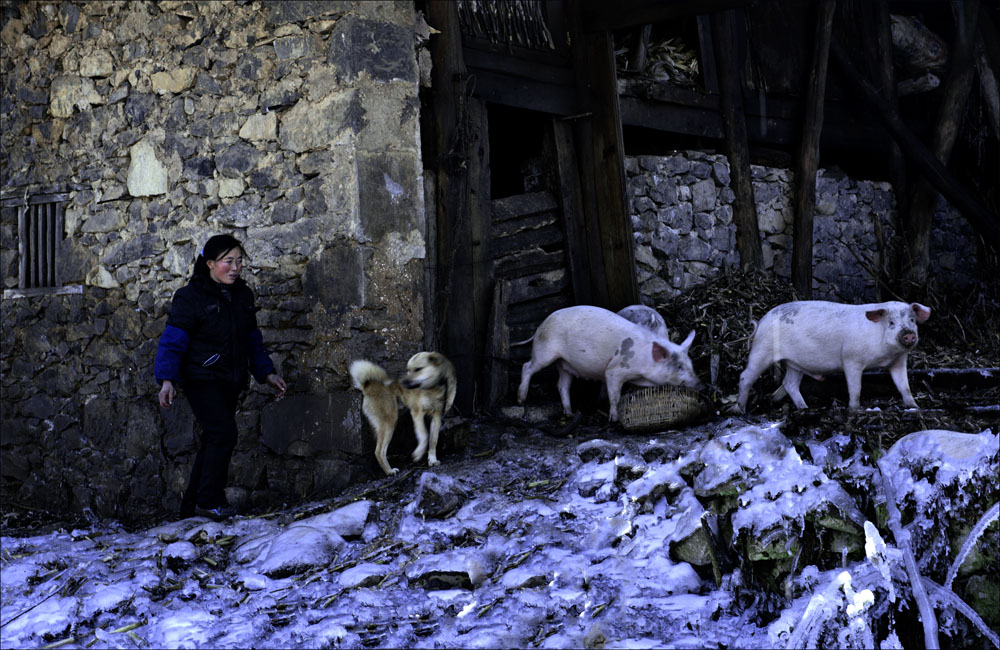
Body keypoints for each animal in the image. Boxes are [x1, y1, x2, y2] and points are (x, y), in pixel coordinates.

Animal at [516, 306, 704, 422]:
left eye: (690, 364)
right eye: (679, 367)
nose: (699, 383)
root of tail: (542, 323)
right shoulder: (614, 370)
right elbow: (614, 395)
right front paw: (614, 419)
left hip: (564, 363)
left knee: (562, 385)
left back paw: (569, 413)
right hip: (544, 353)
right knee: (526, 366)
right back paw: (520, 400)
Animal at [736, 300, 928, 410]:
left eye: (912, 320)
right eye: (891, 322)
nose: (909, 334)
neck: (884, 356)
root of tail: (761, 321)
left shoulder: (898, 362)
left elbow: (904, 386)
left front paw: (914, 407)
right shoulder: (851, 359)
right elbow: (855, 388)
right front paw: (854, 409)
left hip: (793, 363)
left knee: (789, 384)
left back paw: (804, 408)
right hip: (762, 350)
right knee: (746, 376)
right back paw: (740, 409)